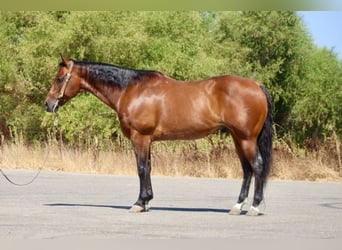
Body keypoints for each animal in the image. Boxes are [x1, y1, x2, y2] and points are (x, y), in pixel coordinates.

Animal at [44, 55, 272, 216]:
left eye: (59, 78)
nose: (48, 104)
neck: (130, 89)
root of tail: (257, 86)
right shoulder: (148, 140)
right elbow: (149, 168)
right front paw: (147, 201)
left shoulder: (140, 137)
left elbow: (141, 169)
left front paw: (139, 203)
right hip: (237, 138)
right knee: (247, 170)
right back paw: (237, 206)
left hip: (246, 139)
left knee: (257, 166)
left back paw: (253, 207)